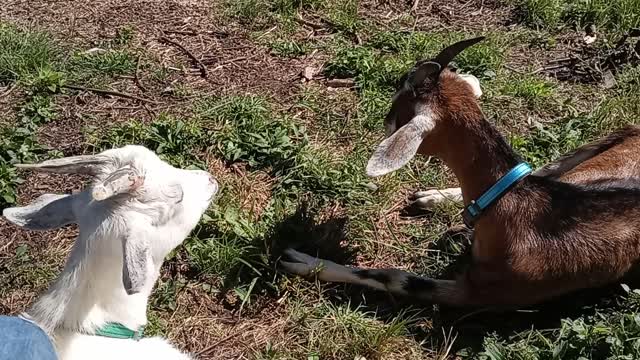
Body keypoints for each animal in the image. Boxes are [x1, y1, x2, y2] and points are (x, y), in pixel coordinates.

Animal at [282, 36, 640, 306]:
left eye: (397, 106)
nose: (382, 122)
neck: (513, 202)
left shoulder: (479, 292)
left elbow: (394, 277)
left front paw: (305, 262)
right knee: (546, 168)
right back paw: (433, 198)